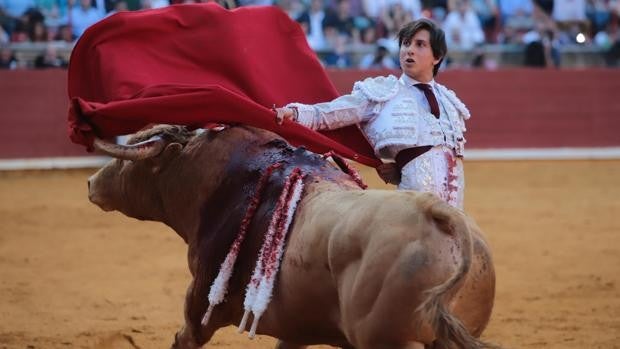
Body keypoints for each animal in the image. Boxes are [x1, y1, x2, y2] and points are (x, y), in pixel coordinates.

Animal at [87, 123, 496, 346]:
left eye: (127, 162)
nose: (91, 182)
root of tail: (440, 215)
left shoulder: (200, 308)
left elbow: (184, 337)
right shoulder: (299, 329)